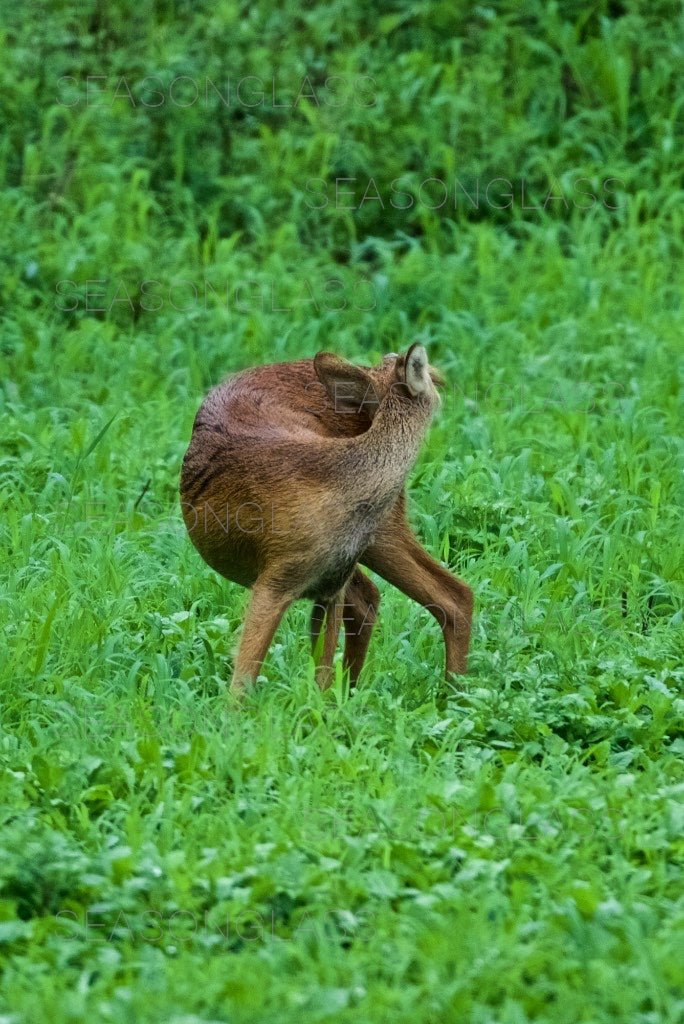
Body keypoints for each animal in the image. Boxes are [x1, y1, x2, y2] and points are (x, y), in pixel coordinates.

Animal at [179, 346, 473, 696]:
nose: (442, 381)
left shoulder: (330, 586)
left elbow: (318, 674)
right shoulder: (275, 579)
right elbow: (243, 682)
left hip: (375, 539)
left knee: (445, 596)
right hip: (375, 540)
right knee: (410, 598)